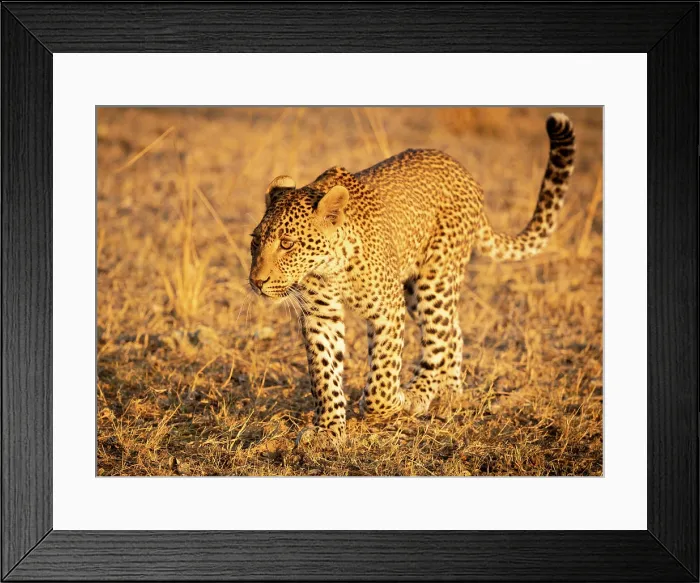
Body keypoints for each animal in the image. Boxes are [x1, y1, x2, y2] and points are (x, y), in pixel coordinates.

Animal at [248, 113, 575, 447]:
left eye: (287, 244)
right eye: (255, 241)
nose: (256, 281)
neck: (330, 267)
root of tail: (464, 172)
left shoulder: (388, 309)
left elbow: (382, 376)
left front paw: (394, 402)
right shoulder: (321, 315)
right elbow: (324, 373)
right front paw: (329, 428)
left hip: (435, 279)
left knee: (437, 340)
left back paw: (420, 393)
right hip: (415, 291)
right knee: (453, 331)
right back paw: (450, 393)